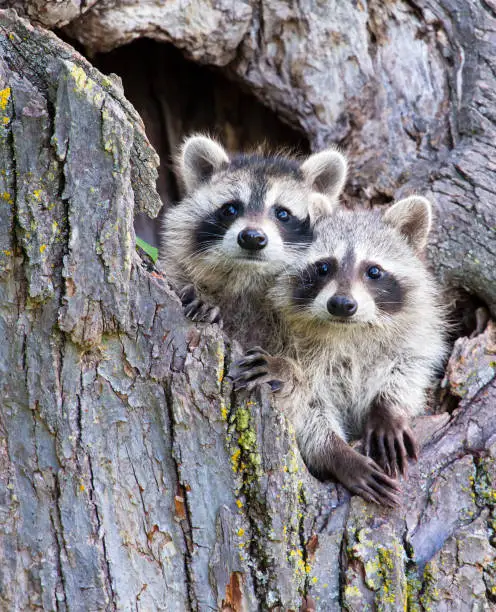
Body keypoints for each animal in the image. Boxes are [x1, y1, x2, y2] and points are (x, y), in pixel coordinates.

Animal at [232, 197, 446, 506]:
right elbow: (308, 410)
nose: (342, 304)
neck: (349, 331)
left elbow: (411, 366)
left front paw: (388, 409)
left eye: (373, 271)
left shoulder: (414, 334)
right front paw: (337, 453)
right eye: (323, 268)